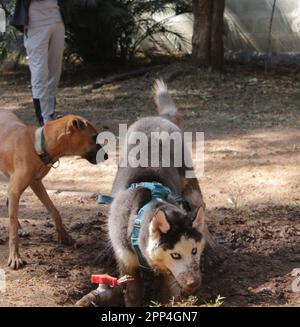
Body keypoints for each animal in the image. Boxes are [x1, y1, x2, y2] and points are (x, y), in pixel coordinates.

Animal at [0, 111, 108, 270]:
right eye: (94, 137)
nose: (106, 156)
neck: (38, 145)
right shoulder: (16, 189)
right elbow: (12, 227)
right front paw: (15, 257)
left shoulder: (36, 183)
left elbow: (54, 211)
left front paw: (64, 236)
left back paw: (22, 228)